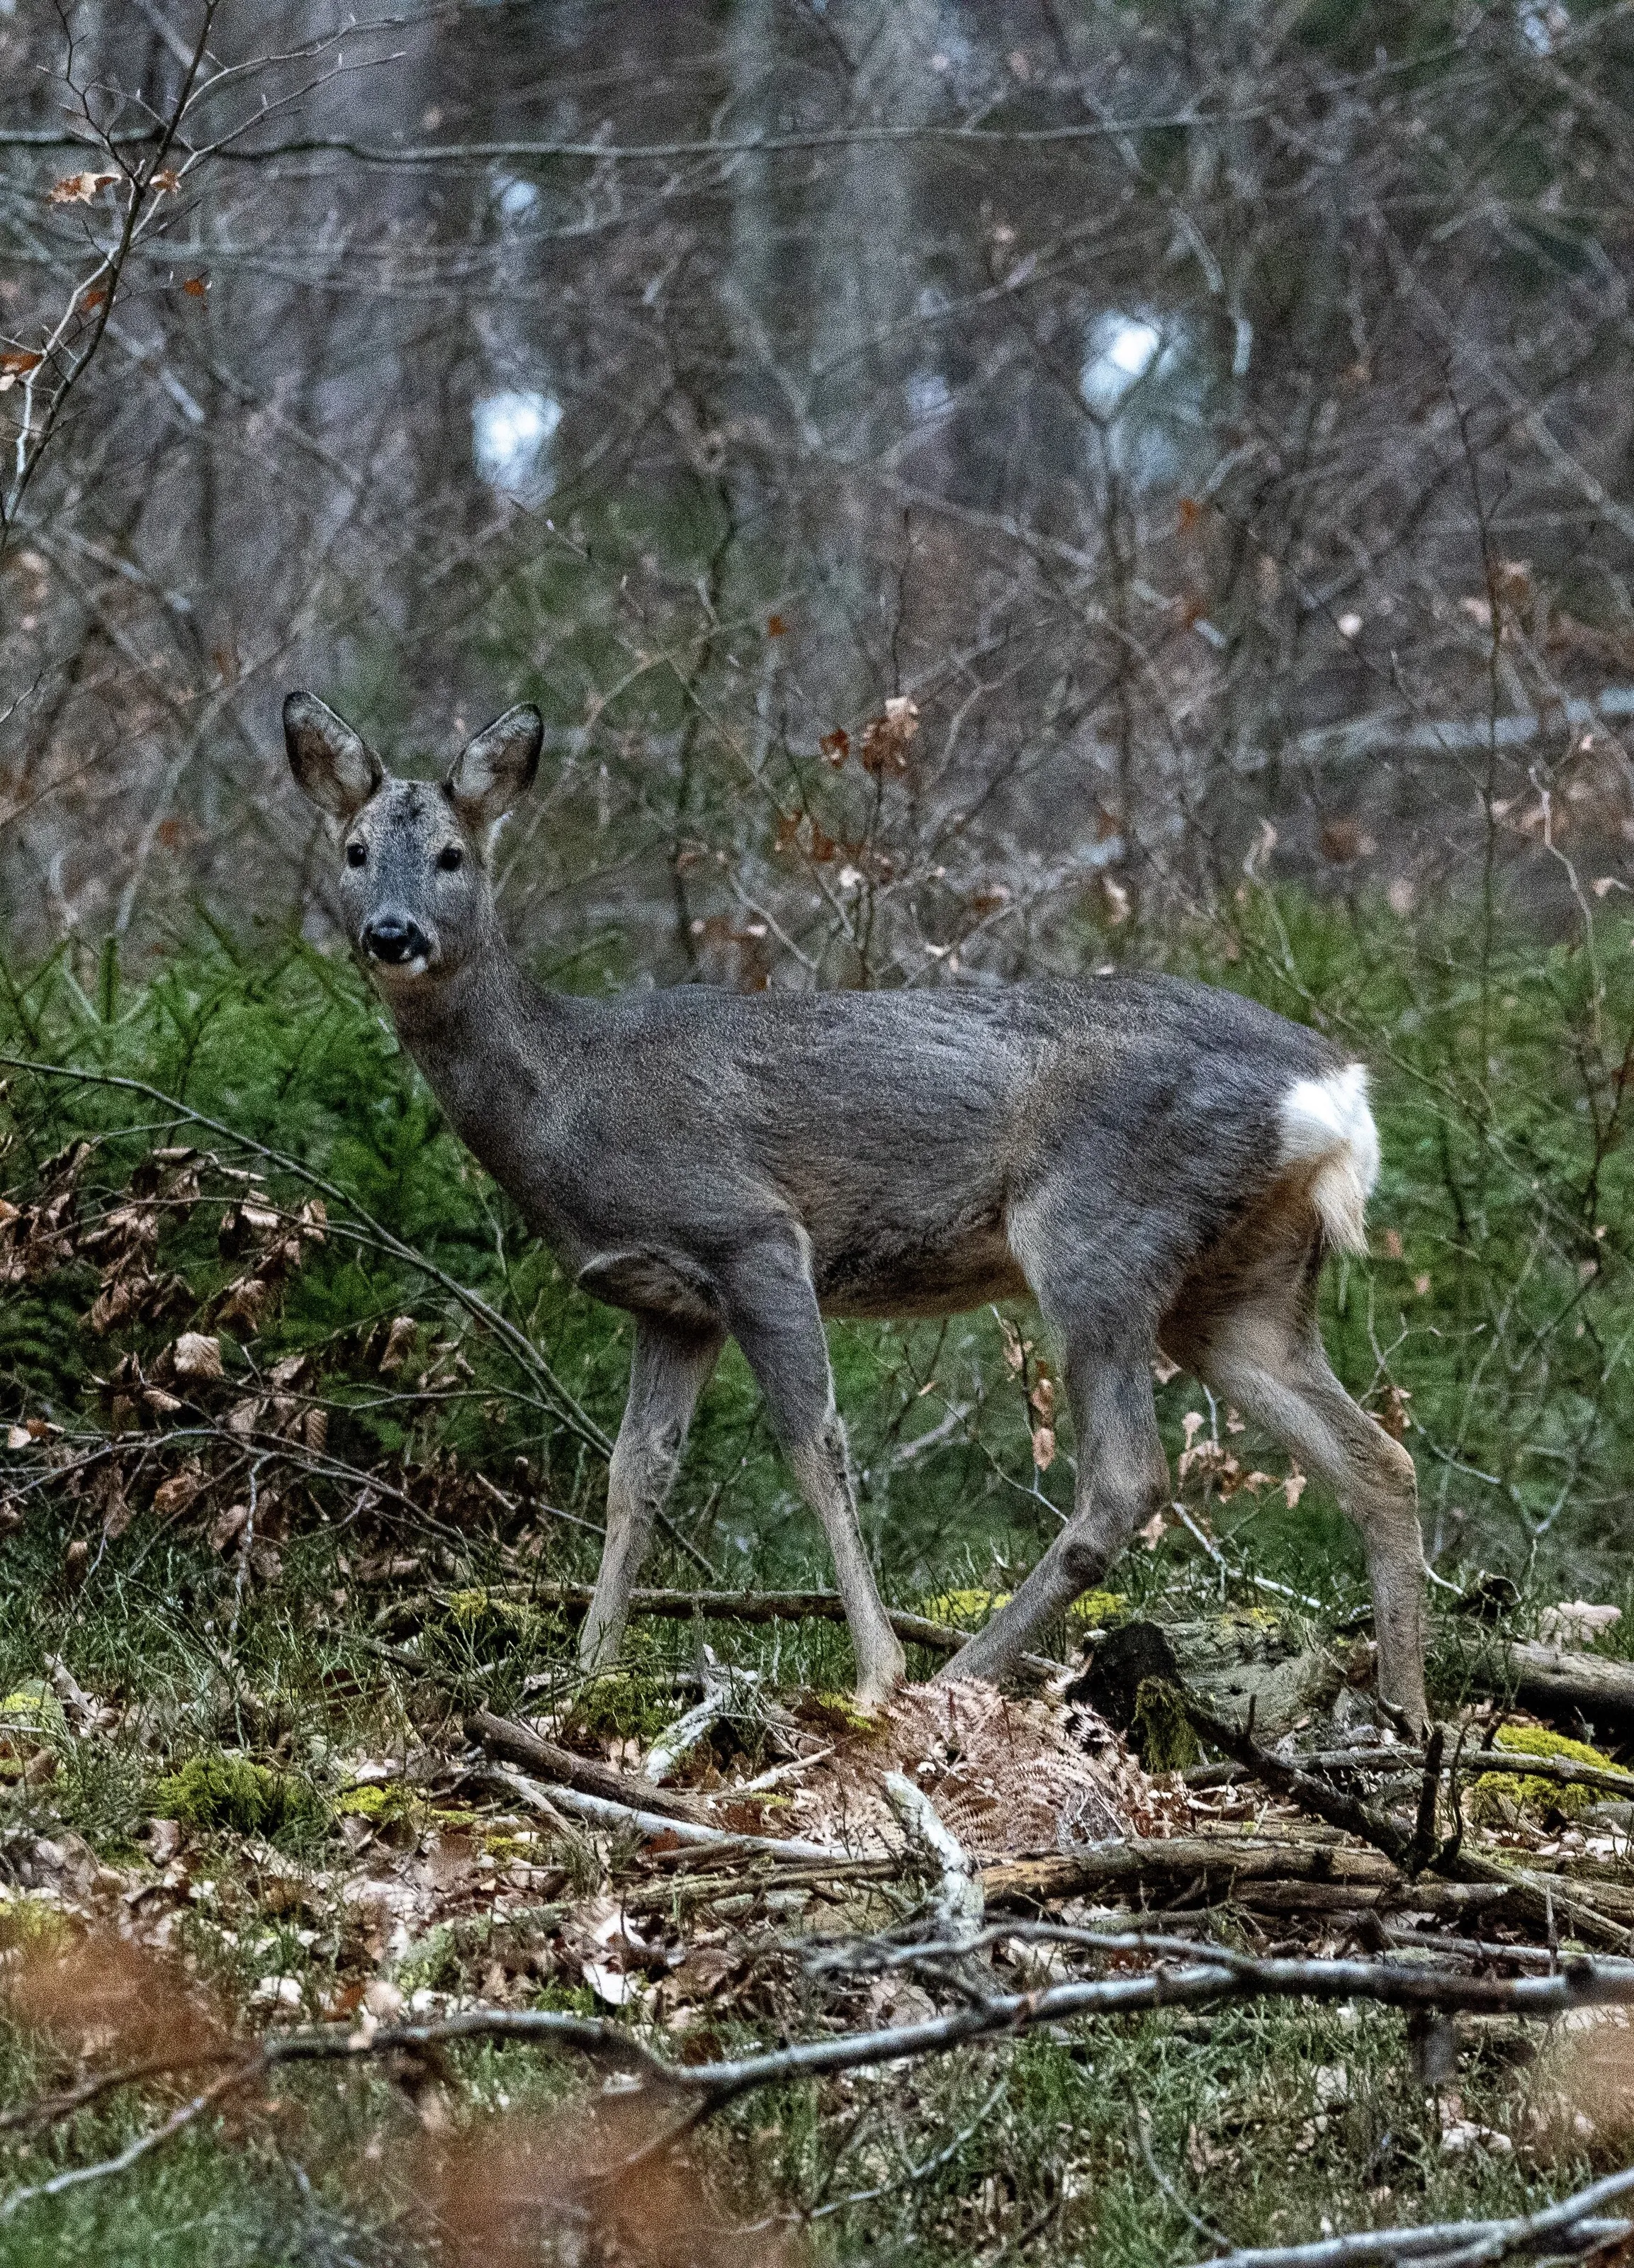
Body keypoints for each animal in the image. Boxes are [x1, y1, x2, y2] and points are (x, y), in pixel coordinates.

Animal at [285, 692, 1429, 1729]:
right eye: (352, 849)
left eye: (451, 855)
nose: (392, 934)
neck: (570, 1095)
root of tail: (1332, 1092)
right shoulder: (669, 1301)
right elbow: (634, 1473)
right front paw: (588, 1666)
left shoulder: (750, 1233)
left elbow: (814, 1444)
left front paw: (873, 1669)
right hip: (1239, 1286)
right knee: (1375, 1460)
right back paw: (1405, 1717)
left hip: (1097, 1230)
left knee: (1125, 1481)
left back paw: (959, 1672)